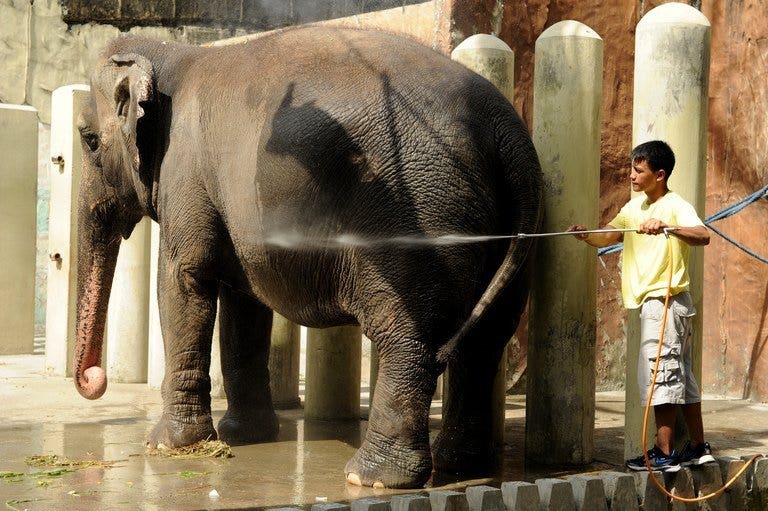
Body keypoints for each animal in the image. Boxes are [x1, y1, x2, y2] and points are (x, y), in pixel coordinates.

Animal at [72, 26, 540, 490]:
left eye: (89, 141)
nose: (96, 379)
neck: (173, 53)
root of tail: (506, 131)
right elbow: (243, 304)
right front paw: (243, 436)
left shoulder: (184, 172)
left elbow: (183, 282)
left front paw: (168, 446)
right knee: (487, 339)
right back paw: (461, 465)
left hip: (419, 221)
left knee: (409, 337)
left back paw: (370, 478)